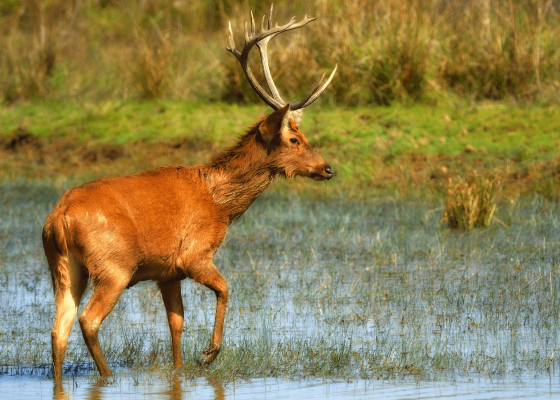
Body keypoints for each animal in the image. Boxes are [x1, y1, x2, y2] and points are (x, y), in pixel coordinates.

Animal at [41, 6, 336, 382]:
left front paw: (180, 370)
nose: (327, 168)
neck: (220, 203)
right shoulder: (193, 254)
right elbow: (225, 288)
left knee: (58, 328)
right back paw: (107, 376)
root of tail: (59, 219)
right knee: (87, 320)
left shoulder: (167, 273)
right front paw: (209, 354)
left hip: (63, 267)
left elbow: (176, 324)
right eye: (294, 138)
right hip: (114, 266)